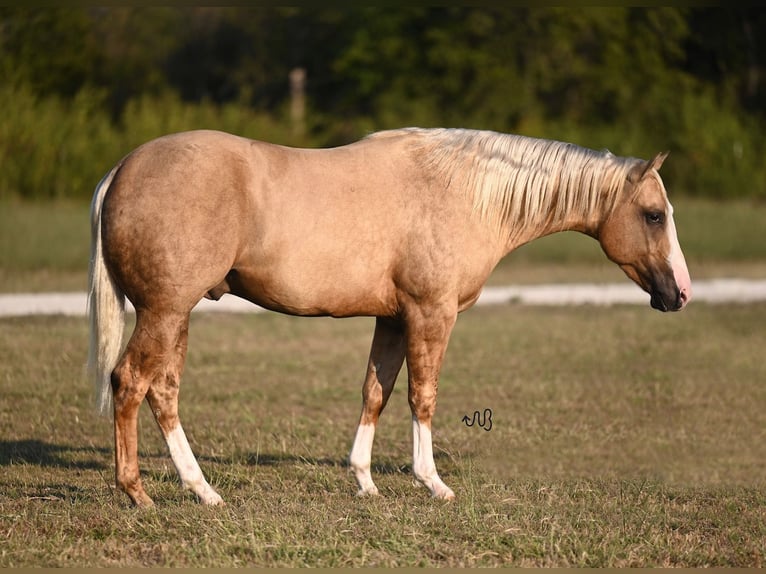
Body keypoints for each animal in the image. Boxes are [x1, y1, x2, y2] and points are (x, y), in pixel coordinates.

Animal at [87, 128, 692, 506]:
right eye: (653, 215)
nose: (681, 293)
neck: (462, 191)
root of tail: (121, 170)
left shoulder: (394, 319)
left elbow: (375, 391)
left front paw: (365, 481)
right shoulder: (431, 315)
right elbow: (422, 397)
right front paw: (432, 482)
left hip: (176, 316)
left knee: (163, 392)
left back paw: (203, 490)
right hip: (164, 313)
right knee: (130, 382)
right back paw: (137, 492)